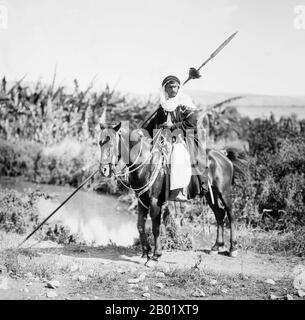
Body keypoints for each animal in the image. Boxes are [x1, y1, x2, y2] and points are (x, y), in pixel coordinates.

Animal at [98, 117, 246, 260]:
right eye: (100, 143)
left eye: (111, 144)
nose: (103, 170)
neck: (146, 163)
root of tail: (223, 156)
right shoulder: (142, 199)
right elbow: (140, 226)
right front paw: (146, 252)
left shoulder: (155, 201)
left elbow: (156, 228)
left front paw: (155, 256)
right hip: (210, 194)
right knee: (219, 213)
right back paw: (216, 246)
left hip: (223, 192)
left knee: (231, 214)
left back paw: (233, 248)